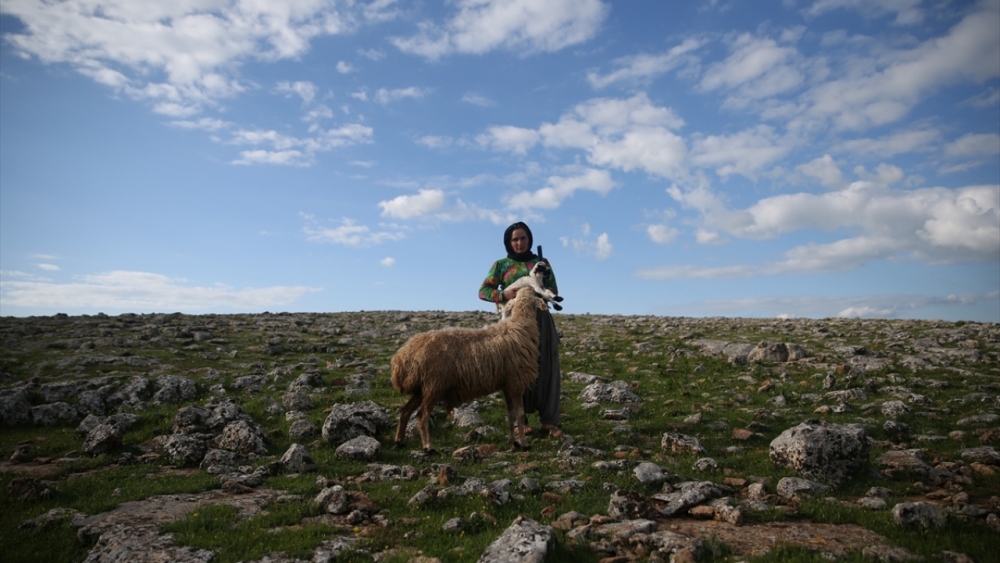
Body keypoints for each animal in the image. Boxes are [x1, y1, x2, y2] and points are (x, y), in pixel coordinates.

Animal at [392, 286, 548, 454]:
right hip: (433, 385)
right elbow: (520, 414)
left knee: (405, 411)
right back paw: (428, 447)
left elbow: (511, 414)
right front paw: (524, 443)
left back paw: (399, 441)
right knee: (422, 416)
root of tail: (403, 356)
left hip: (421, 388)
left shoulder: (507, 385)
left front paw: (513, 441)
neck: (520, 324)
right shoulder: (516, 383)